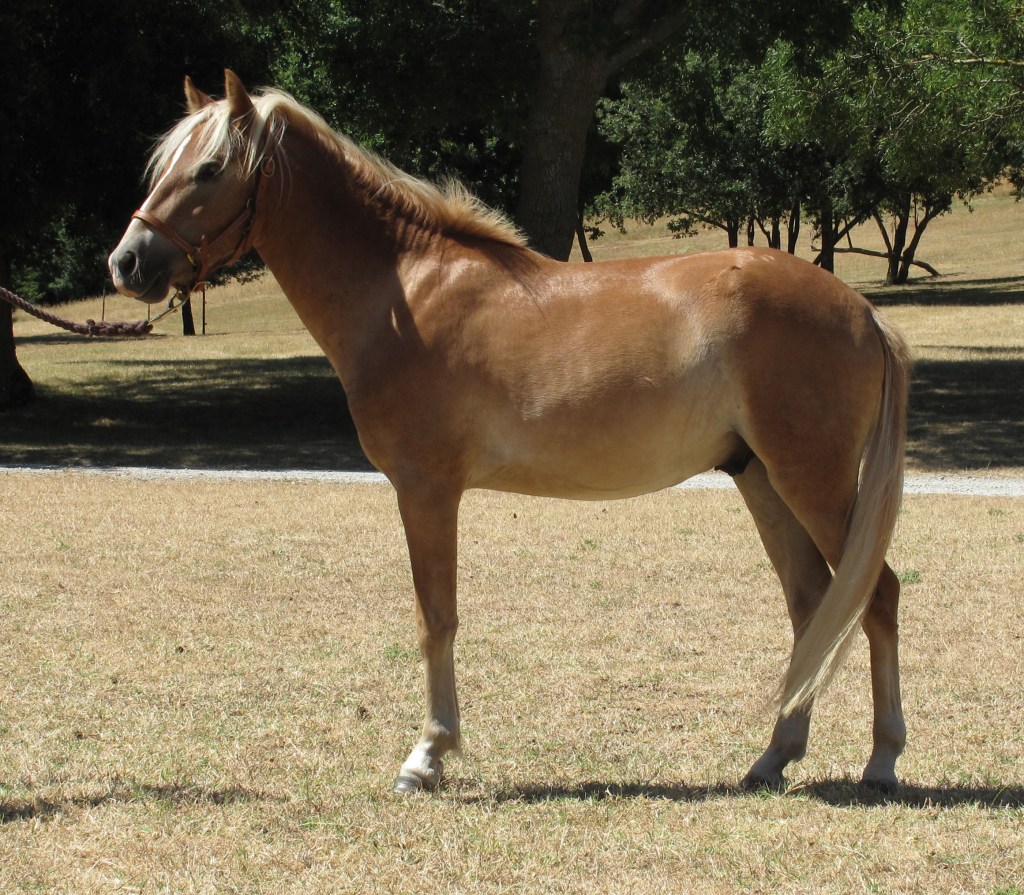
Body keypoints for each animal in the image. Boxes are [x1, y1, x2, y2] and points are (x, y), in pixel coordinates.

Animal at [109, 71, 911, 795]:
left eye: (209, 168)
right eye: (166, 166)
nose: (127, 262)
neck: (406, 289)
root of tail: (864, 312)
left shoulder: (426, 488)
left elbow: (436, 617)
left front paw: (427, 756)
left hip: (814, 482)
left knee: (876, 595)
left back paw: (880, 761)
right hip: (762, 479)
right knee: (812, 605)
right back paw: (773, 757)